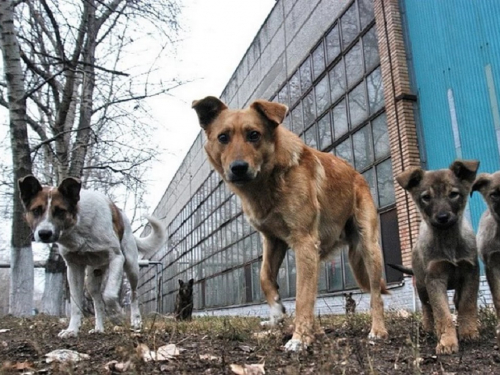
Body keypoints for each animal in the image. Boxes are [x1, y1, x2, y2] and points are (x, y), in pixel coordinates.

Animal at [18, 176, 166, 338]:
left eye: (60, 211)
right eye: (36, 210)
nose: (44, 233)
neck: (78, 225)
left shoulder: (116, 258)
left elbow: (109, 294)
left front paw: (117, 316)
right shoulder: (73, 268)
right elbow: (76, 305)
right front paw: (72, 330)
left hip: (131, 267)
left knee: (134, 295)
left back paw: (136, 321)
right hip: (92, 278)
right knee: (98, 302)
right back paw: (99, 328)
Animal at [193, 95, 388, 352]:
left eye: (254, 134)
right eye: (223, 137)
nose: (238, 168)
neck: (268, 180)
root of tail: (358, 175)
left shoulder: (304, 242)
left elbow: (302, 296)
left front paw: (299, 339)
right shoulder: (273, 241)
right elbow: (264, 276)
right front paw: (276, 312)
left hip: (369, 247)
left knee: (375, 293)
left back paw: (377, 330)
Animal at [394, 162, 480, 356]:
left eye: (453, 194)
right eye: (426, 197)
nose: (442, 217)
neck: (448, 239)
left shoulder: (471, 272)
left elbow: (467, 303)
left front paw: (469, 331)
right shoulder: (434, 278)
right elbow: (442, 313)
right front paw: (447, 341)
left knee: (456, 301)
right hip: (421, 285)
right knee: (427, 308)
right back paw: (428, 328)